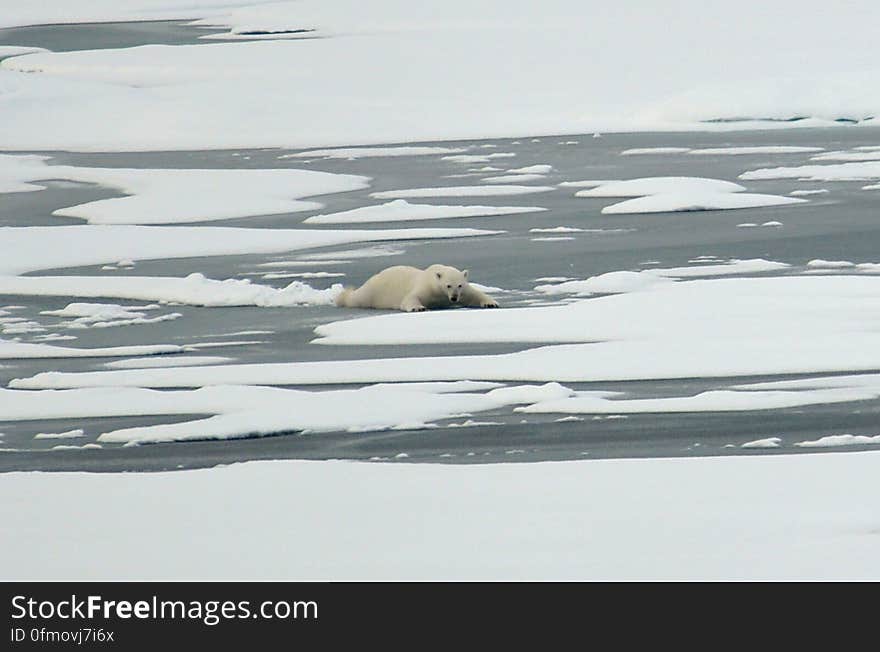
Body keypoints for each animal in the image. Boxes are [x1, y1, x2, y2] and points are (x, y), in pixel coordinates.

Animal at [336, 264, 498, 312]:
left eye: (459, 285)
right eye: (448, 285)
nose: (453, 298)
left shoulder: (463, 292)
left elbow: (474, 294)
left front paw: (491, 303)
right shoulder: (425, 287)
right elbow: (410, 297)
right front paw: (418, 308)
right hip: (372, 291)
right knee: (357, 298)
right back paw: (343, 296)